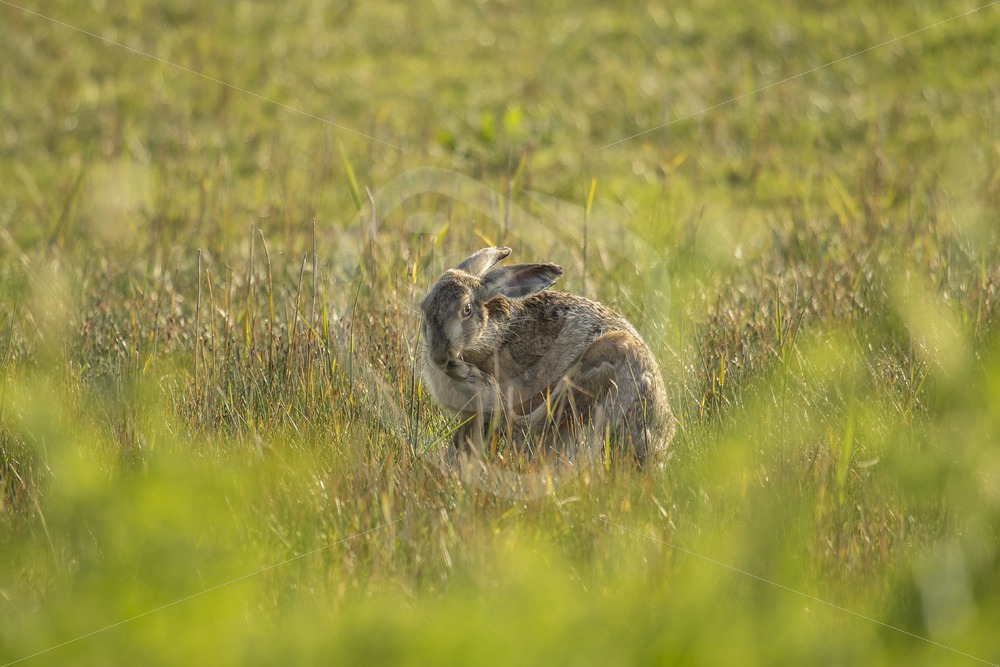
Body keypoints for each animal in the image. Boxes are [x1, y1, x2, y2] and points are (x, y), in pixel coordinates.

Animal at [419, 246, 674, 466]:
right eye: (424, 307)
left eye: (467, 310)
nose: (440, 356)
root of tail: (659, 443)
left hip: (604, 361)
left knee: (530, 430)